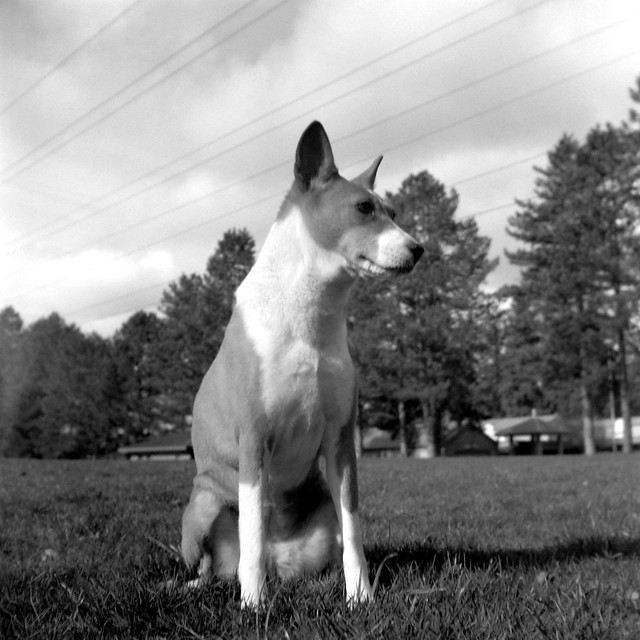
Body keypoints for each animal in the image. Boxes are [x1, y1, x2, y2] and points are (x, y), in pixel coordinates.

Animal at [180, 120, 422, 604]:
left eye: (394, 213)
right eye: (364, 207)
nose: (418, 249)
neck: (309, 318)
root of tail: (284, 565)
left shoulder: (341, 442)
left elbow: (355, 536)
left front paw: (360, 597)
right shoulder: (254, 440)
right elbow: (253, 535)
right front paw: (254, 607)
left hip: (322, 508)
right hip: (203, 506)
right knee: (217, 564)